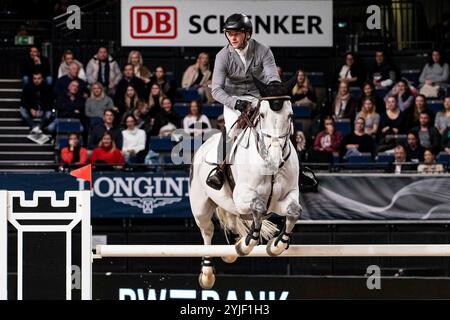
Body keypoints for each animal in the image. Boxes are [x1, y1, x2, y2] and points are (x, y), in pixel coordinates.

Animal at [188, 79, 300, 288]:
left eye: (290, 115)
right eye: (262, 115)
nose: (275, 159)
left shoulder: (286, 197)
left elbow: (294, 212)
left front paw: (276, 245)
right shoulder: (243, 197)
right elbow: (258, 206)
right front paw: (248, 244)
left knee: (232, 222)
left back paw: (232, 252)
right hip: (200, 207)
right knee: (207, 231)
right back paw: (207, 274)